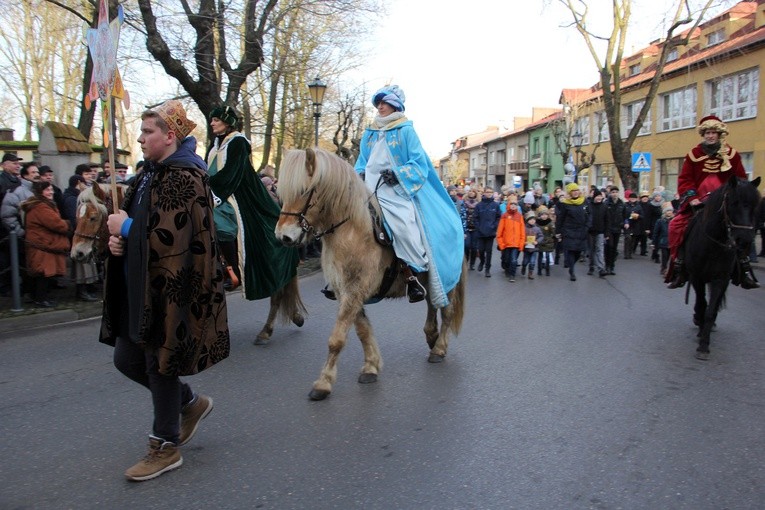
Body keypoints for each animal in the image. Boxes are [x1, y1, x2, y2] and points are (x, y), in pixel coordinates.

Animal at [274, 149, 466, 400]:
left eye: (304, 190)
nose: (283, 236)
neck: (352, 232)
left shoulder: (354, 291)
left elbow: (337, 339)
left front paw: (323, 383)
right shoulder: (346, 292)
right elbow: (363, 330)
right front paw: (371, 367)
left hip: (447, 279)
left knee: (447, 311)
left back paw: (439, 348)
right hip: (430, 279)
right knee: (432, 304)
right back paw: (431, 336)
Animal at [684, 177, 760, 360]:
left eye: (755, 205)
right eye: (733, 203)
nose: (745, 240)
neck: (713, 244)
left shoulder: (721, 278)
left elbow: (711, 309)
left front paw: (704, 345)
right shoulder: (697, 277)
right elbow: (702, 304)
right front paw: (699, 324)